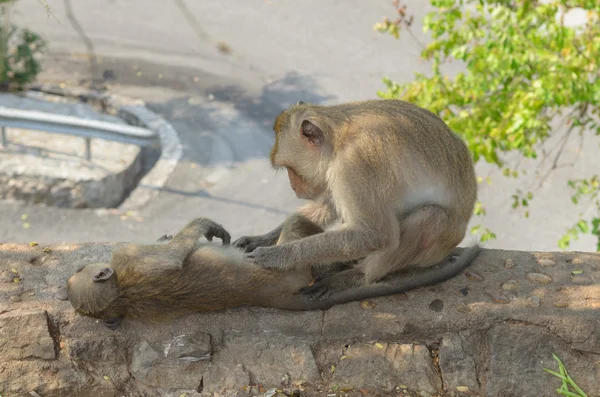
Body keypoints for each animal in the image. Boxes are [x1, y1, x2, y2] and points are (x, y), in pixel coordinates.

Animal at [55, 213, 478, 328]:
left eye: (78, 268)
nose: (78, 265)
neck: (123, 294)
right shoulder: (126, 257)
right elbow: (171, 259)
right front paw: (204, 226)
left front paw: (167, 233)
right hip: (296, 267)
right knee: (299, 233)